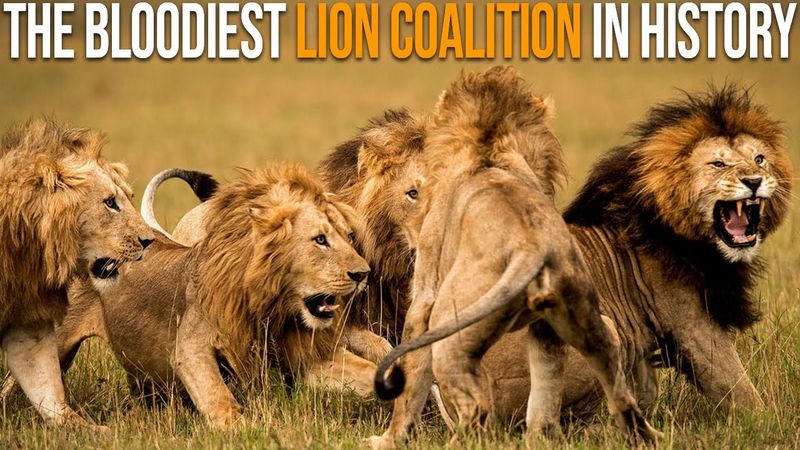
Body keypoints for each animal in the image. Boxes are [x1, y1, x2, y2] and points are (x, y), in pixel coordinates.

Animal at [5, 163, 375, 430]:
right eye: (320, 240)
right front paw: (246, 429)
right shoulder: (192, 347)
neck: (272, 307)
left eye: (349, 236)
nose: (363, 274)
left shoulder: (304, 356)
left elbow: (367, 371)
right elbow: (220, 400)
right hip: (54, 340)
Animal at [368, 66, 660, 448]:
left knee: (475, 407)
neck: (489, 147)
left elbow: (411, 377)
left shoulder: (424, 295)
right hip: (585, 321)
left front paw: (389, 438)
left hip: (450, 329)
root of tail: (530, 246)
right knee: (604, 385)